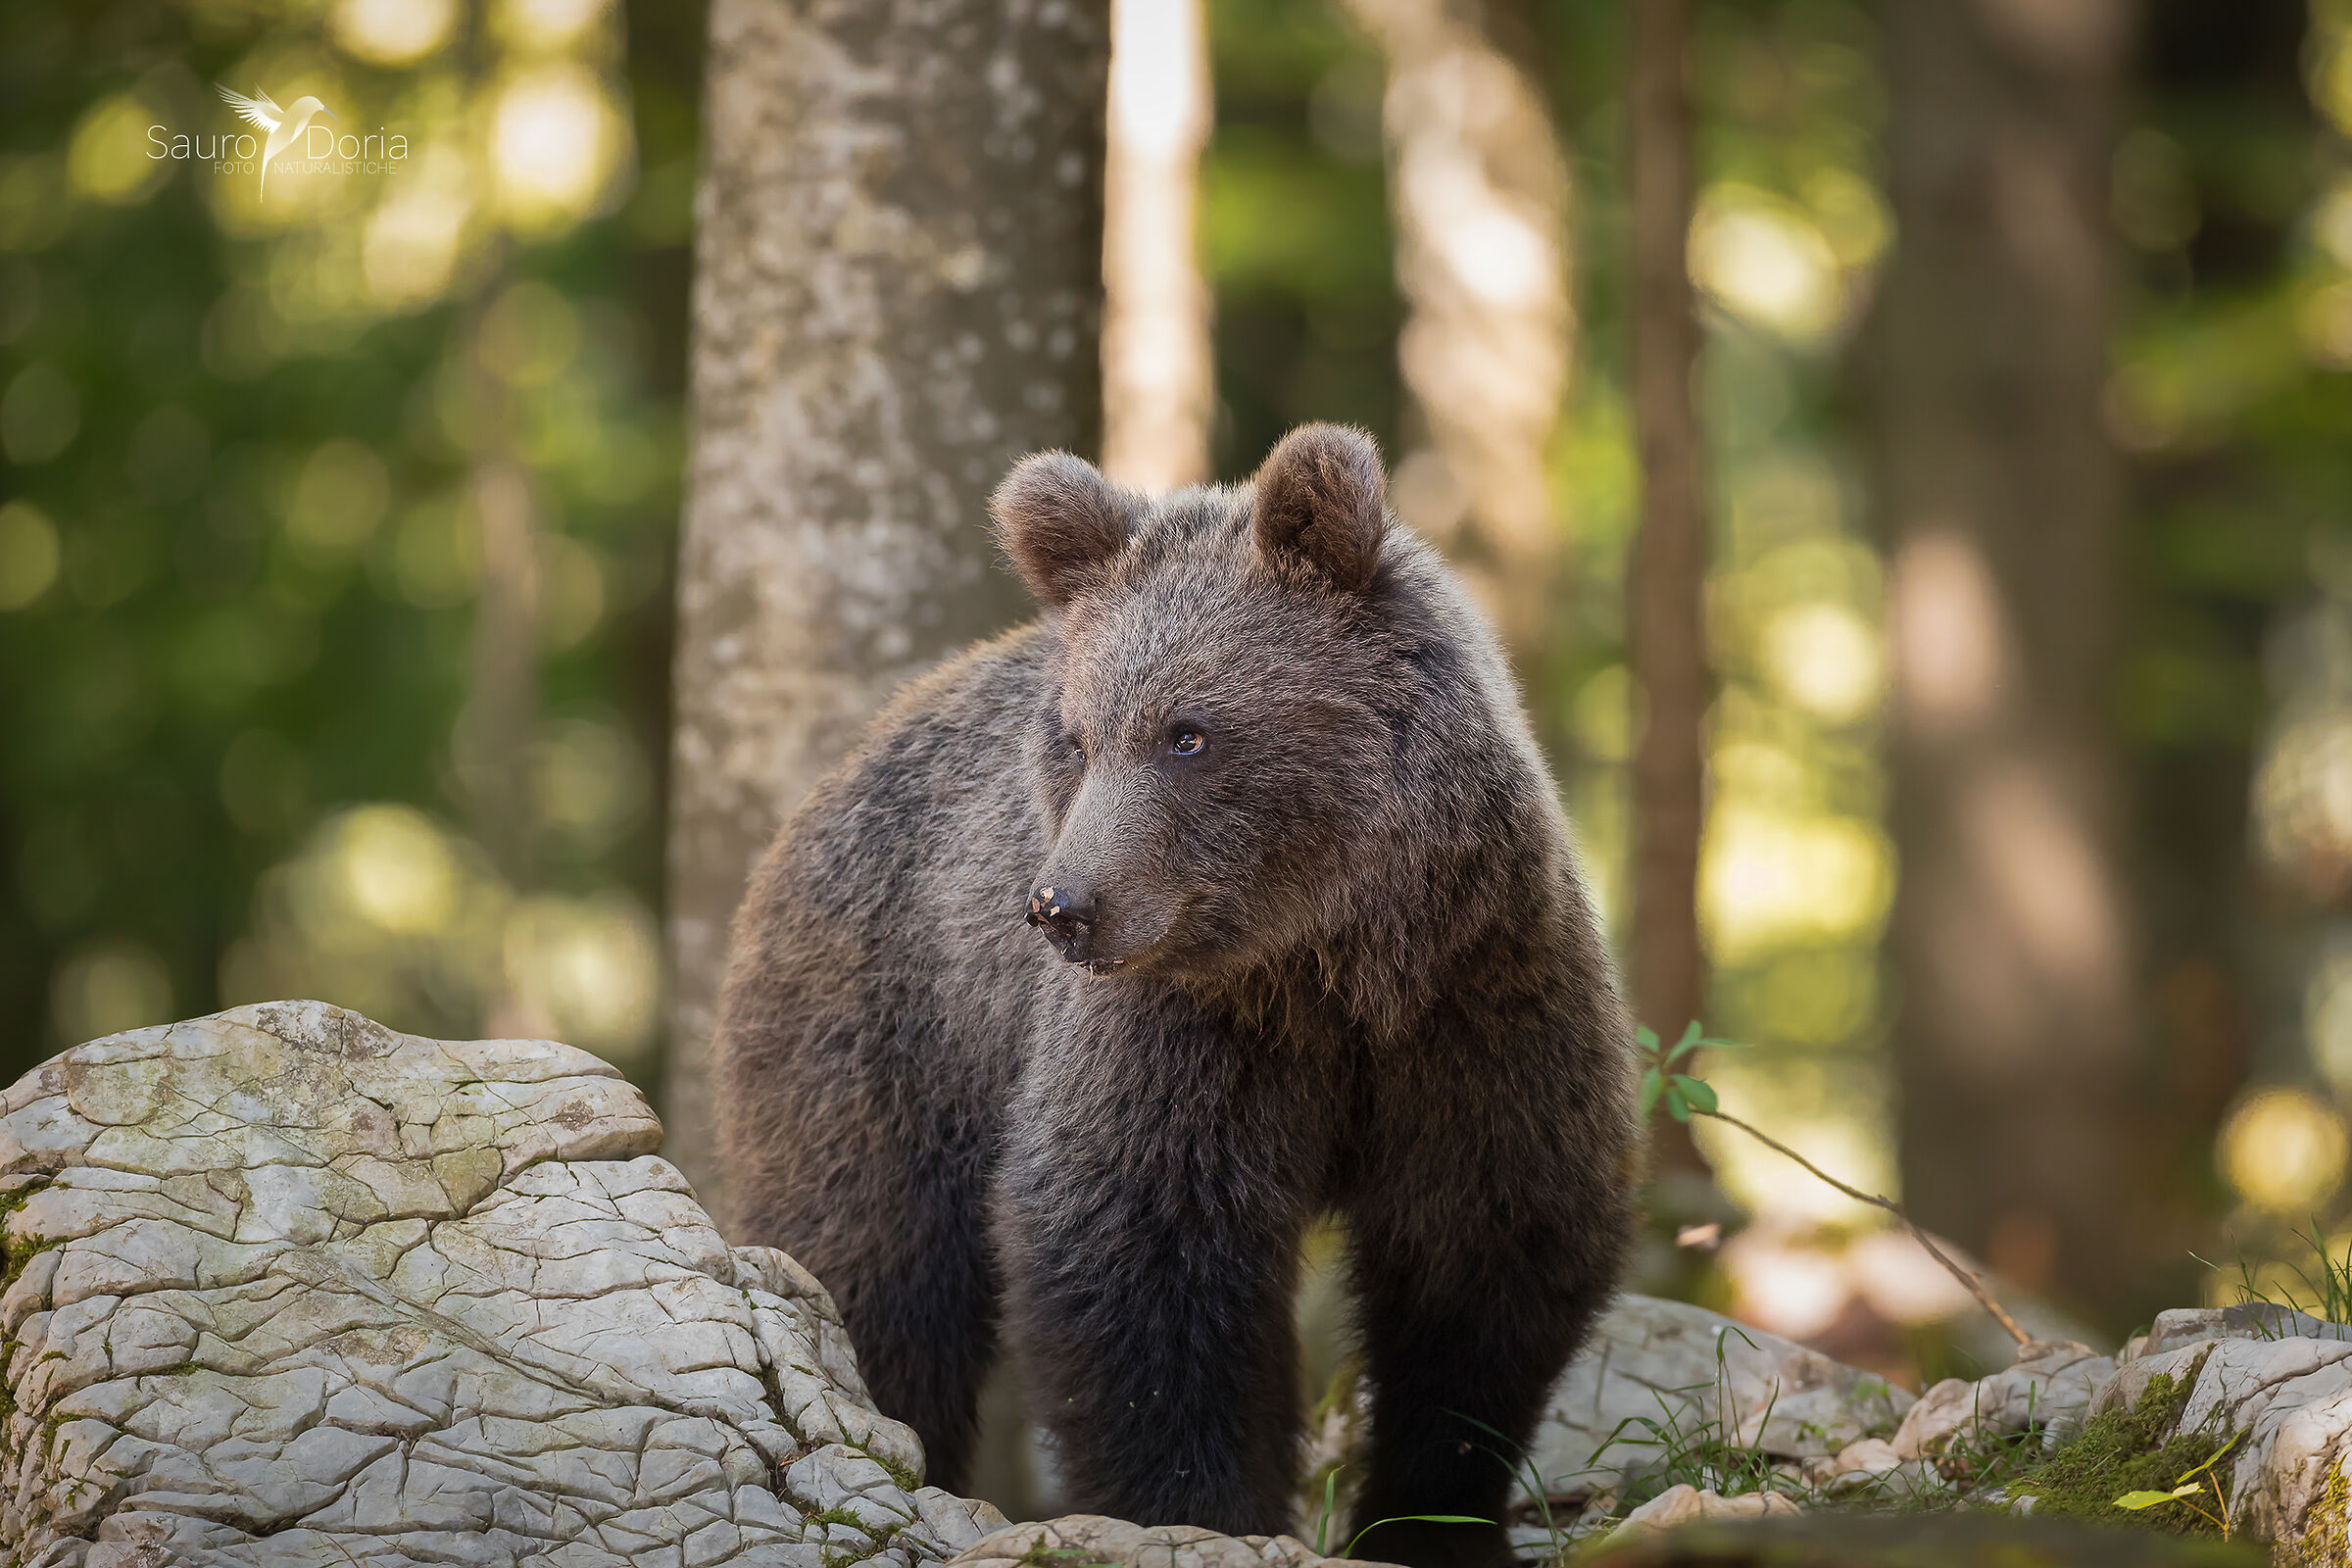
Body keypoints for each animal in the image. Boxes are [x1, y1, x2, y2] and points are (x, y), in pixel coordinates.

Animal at [713, 423, 1637, 1568]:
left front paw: (1435, 1519)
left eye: (1188, 733)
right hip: (882, 1030)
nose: (1061, 906)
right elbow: (1141, 1251)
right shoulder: (1179, 1035)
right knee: (872, 1265)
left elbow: (1486, 1253)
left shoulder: (1480, 1005)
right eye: (1077, 738)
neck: (1333, 963)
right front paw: (1203, 1509)